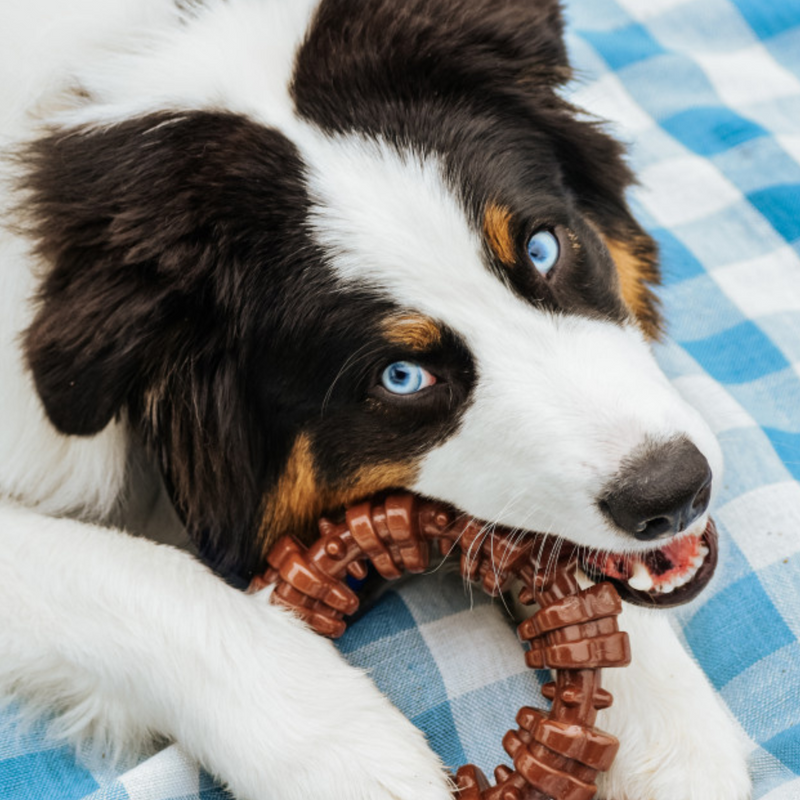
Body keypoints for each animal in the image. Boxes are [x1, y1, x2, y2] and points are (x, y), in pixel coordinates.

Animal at [0, 1, 752, 800]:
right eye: (401, 377)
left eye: (544, 247)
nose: (675, 492)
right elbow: (137, 577)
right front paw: (347, 753)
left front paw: (670, 726)